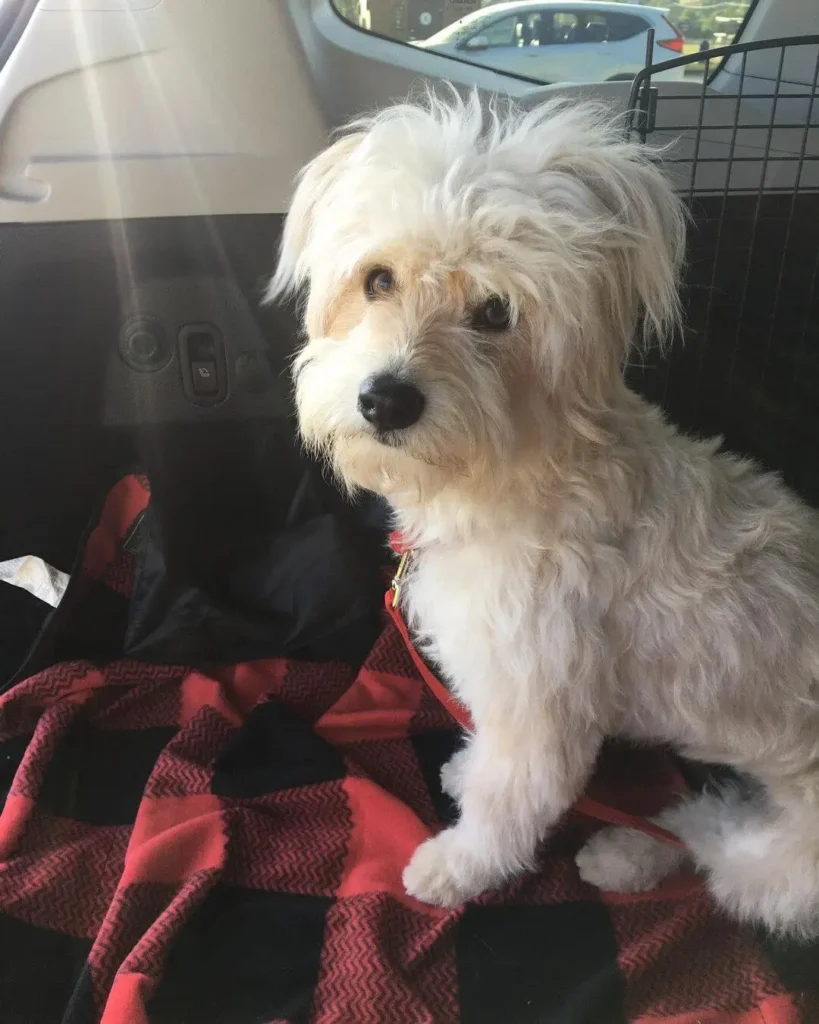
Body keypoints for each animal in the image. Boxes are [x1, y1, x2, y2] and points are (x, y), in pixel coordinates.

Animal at [272, 92, 818, 937]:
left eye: (496, 312)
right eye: (377, 279)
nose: (385, 399)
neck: (514, 472)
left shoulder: (540, 705)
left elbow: (509, 802)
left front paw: (454, 868)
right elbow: (487, 759)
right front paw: (465, 769)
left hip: (786, 866)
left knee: (717, 857)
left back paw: (625, 858)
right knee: (698, 821)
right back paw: (629, 850)